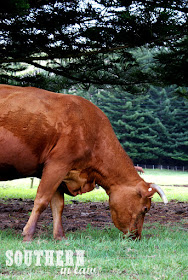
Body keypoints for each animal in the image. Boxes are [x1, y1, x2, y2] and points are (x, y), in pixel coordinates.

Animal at [0, 85, 167, 241]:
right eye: (145, 208)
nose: (137, 236)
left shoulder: (61, 171)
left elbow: (58, 205)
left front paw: (60, 237)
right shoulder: (58, 164)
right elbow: (42, 200)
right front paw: (28, 235)